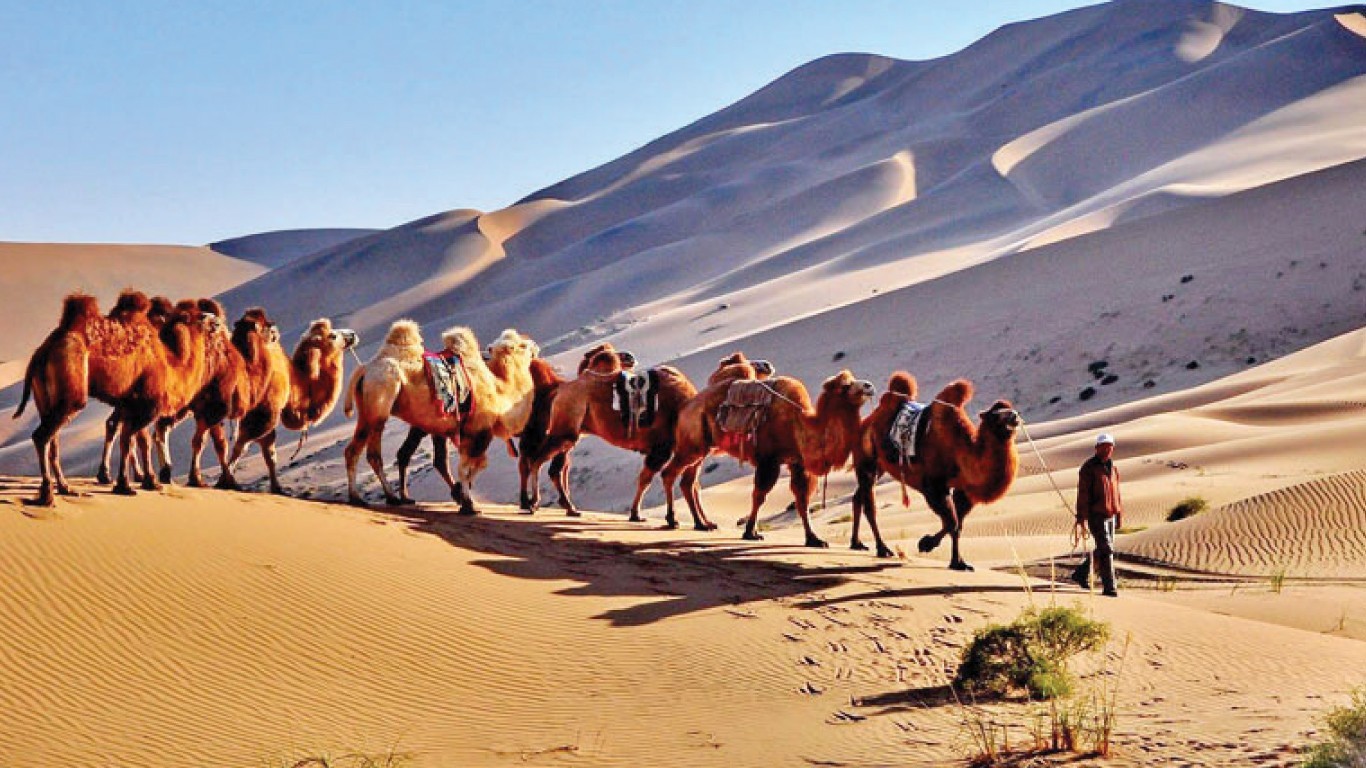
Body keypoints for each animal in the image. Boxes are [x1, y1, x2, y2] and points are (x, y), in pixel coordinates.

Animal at [14, 288, 217, 502]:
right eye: (201, 316)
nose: (217, 322)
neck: (171, 366)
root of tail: (41, 352)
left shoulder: (129, 405)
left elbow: (134, 440)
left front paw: (145, 482)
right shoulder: (148, 406)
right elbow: (130, 439)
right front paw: (127, 485)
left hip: (45, 399)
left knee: (53, 439)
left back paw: (65, 488)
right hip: (71, 389)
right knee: (42, 436)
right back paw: (47, 495)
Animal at [341, 319, 538, 511]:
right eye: (522, 345)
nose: (535, 346)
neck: (499, 391)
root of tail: (365, 368)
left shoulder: (454, 430)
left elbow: (461, 463)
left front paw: (462, 496)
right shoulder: (479, 429)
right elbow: (473, 465)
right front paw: (468, 503)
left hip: (366, 410)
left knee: (355, 450)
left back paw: (361, 497)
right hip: (381, 401)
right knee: (373, 454)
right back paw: (386, 497)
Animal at [661, 366, 874, 543]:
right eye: (846, 386)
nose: (869, 386)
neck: (800, 424)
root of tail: (685, 406)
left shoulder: (797, 463)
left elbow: (801, 500)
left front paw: (814, 539)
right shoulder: (768, 460)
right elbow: (760, 495)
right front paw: (750, 533)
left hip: (702, 448)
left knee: (688, 482)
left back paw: (701, 524)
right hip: (691, 445)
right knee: (669, 473)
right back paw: (673, 520)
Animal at [846, 371, 1021, 568]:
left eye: (1010, 409)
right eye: (995, 415)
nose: (1014, 416)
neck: (962, 450)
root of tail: (864, 422)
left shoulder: (963, 490)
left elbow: (958, 524)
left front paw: (956, 561)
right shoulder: (934, 486)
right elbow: (952, 523)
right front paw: (929, 546)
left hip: (879, 467)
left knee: (858, 497)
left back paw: (857, 543)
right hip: (866, 461)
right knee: (870, 506)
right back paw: (882, 548)